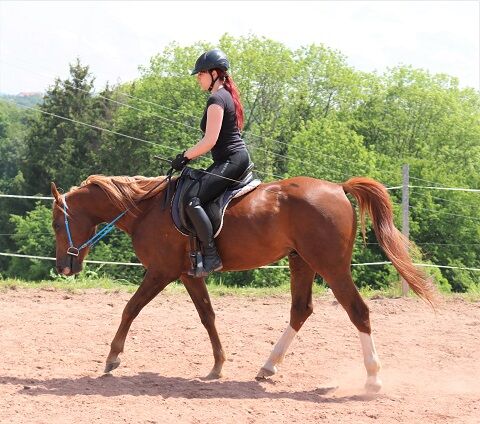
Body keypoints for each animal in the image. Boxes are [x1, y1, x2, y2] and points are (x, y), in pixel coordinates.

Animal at [50, 171, 436, 390]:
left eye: (56, 223)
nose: (64, 267)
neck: (146, 208)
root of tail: (338, 189)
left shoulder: (161, 271)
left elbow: (130, 309)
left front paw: (112, 358)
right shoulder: (188, 274)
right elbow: (207, 316)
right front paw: (218, 365)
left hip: (331, 266)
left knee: (358, 312)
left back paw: (373, 377)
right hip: (301, 262)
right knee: (301, 310)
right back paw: (268, 367)